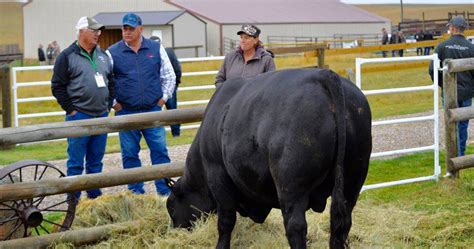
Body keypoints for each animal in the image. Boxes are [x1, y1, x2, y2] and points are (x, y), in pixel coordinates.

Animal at [168, 68, 372, 249]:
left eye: (171, 207)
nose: (173, 230)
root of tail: (325, 75)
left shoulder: (217, 174)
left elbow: (225, 221)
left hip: (291, 186)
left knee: (296, 227)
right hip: (352, 182)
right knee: (341, 225)